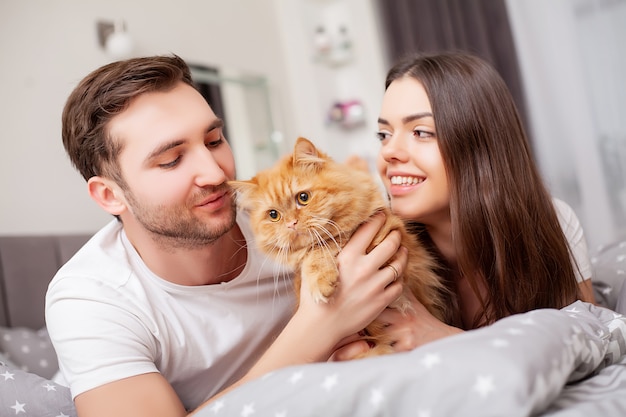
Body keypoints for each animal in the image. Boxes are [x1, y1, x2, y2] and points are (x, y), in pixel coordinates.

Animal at [229, 137, 448, 358]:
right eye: (274, 215)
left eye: (303, 198)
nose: (291, 223)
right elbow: (313, 252)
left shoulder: (391, 235)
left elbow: (324, 244)